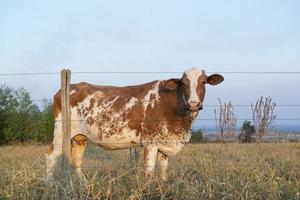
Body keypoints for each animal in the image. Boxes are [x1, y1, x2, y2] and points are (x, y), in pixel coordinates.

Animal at [45, 67, 224, 181]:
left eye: (204, 82)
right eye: (184, 83)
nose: (193, 104)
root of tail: (69, 87)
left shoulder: (165, 144)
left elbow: (164, 171)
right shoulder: (150, 142)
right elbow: (149, 171)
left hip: (80, 138)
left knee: (76, 162)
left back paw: (84, 185)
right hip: (60, 132)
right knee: (51, 156)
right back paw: (49, 184)